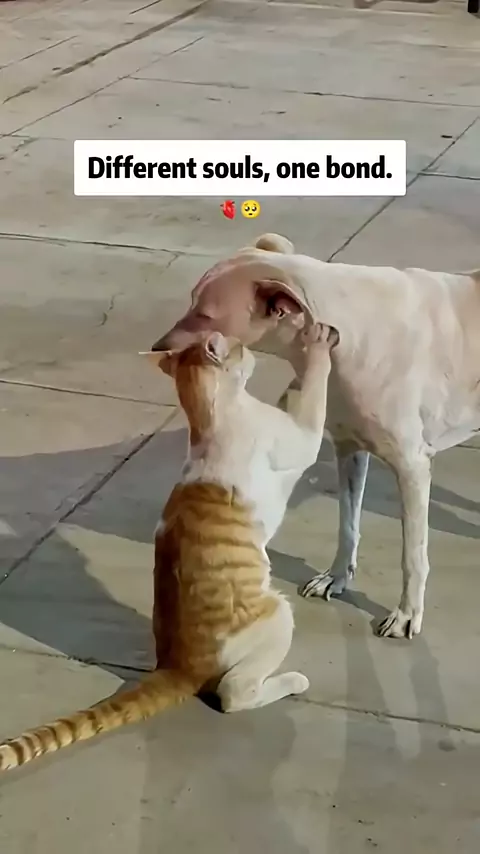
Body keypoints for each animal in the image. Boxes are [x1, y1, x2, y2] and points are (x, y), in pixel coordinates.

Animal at [0, 322, 338, 772]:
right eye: (241, 347)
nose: (250, 350)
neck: (208, 415)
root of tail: (176, 666)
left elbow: (296, 395)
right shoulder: (295, 437)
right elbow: (313, 396)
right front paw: (315, 346)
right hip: (277, 612)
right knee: (234, 693)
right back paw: (289, 682)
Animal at [151, 233, 480, 640]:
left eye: (206, 315)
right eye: (191, 302)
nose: (157, 348)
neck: (348, 330)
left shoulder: (412, 467)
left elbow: (413, 553)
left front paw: (407, 614)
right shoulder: (348, 449)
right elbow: (347, 525)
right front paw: (336, 578)